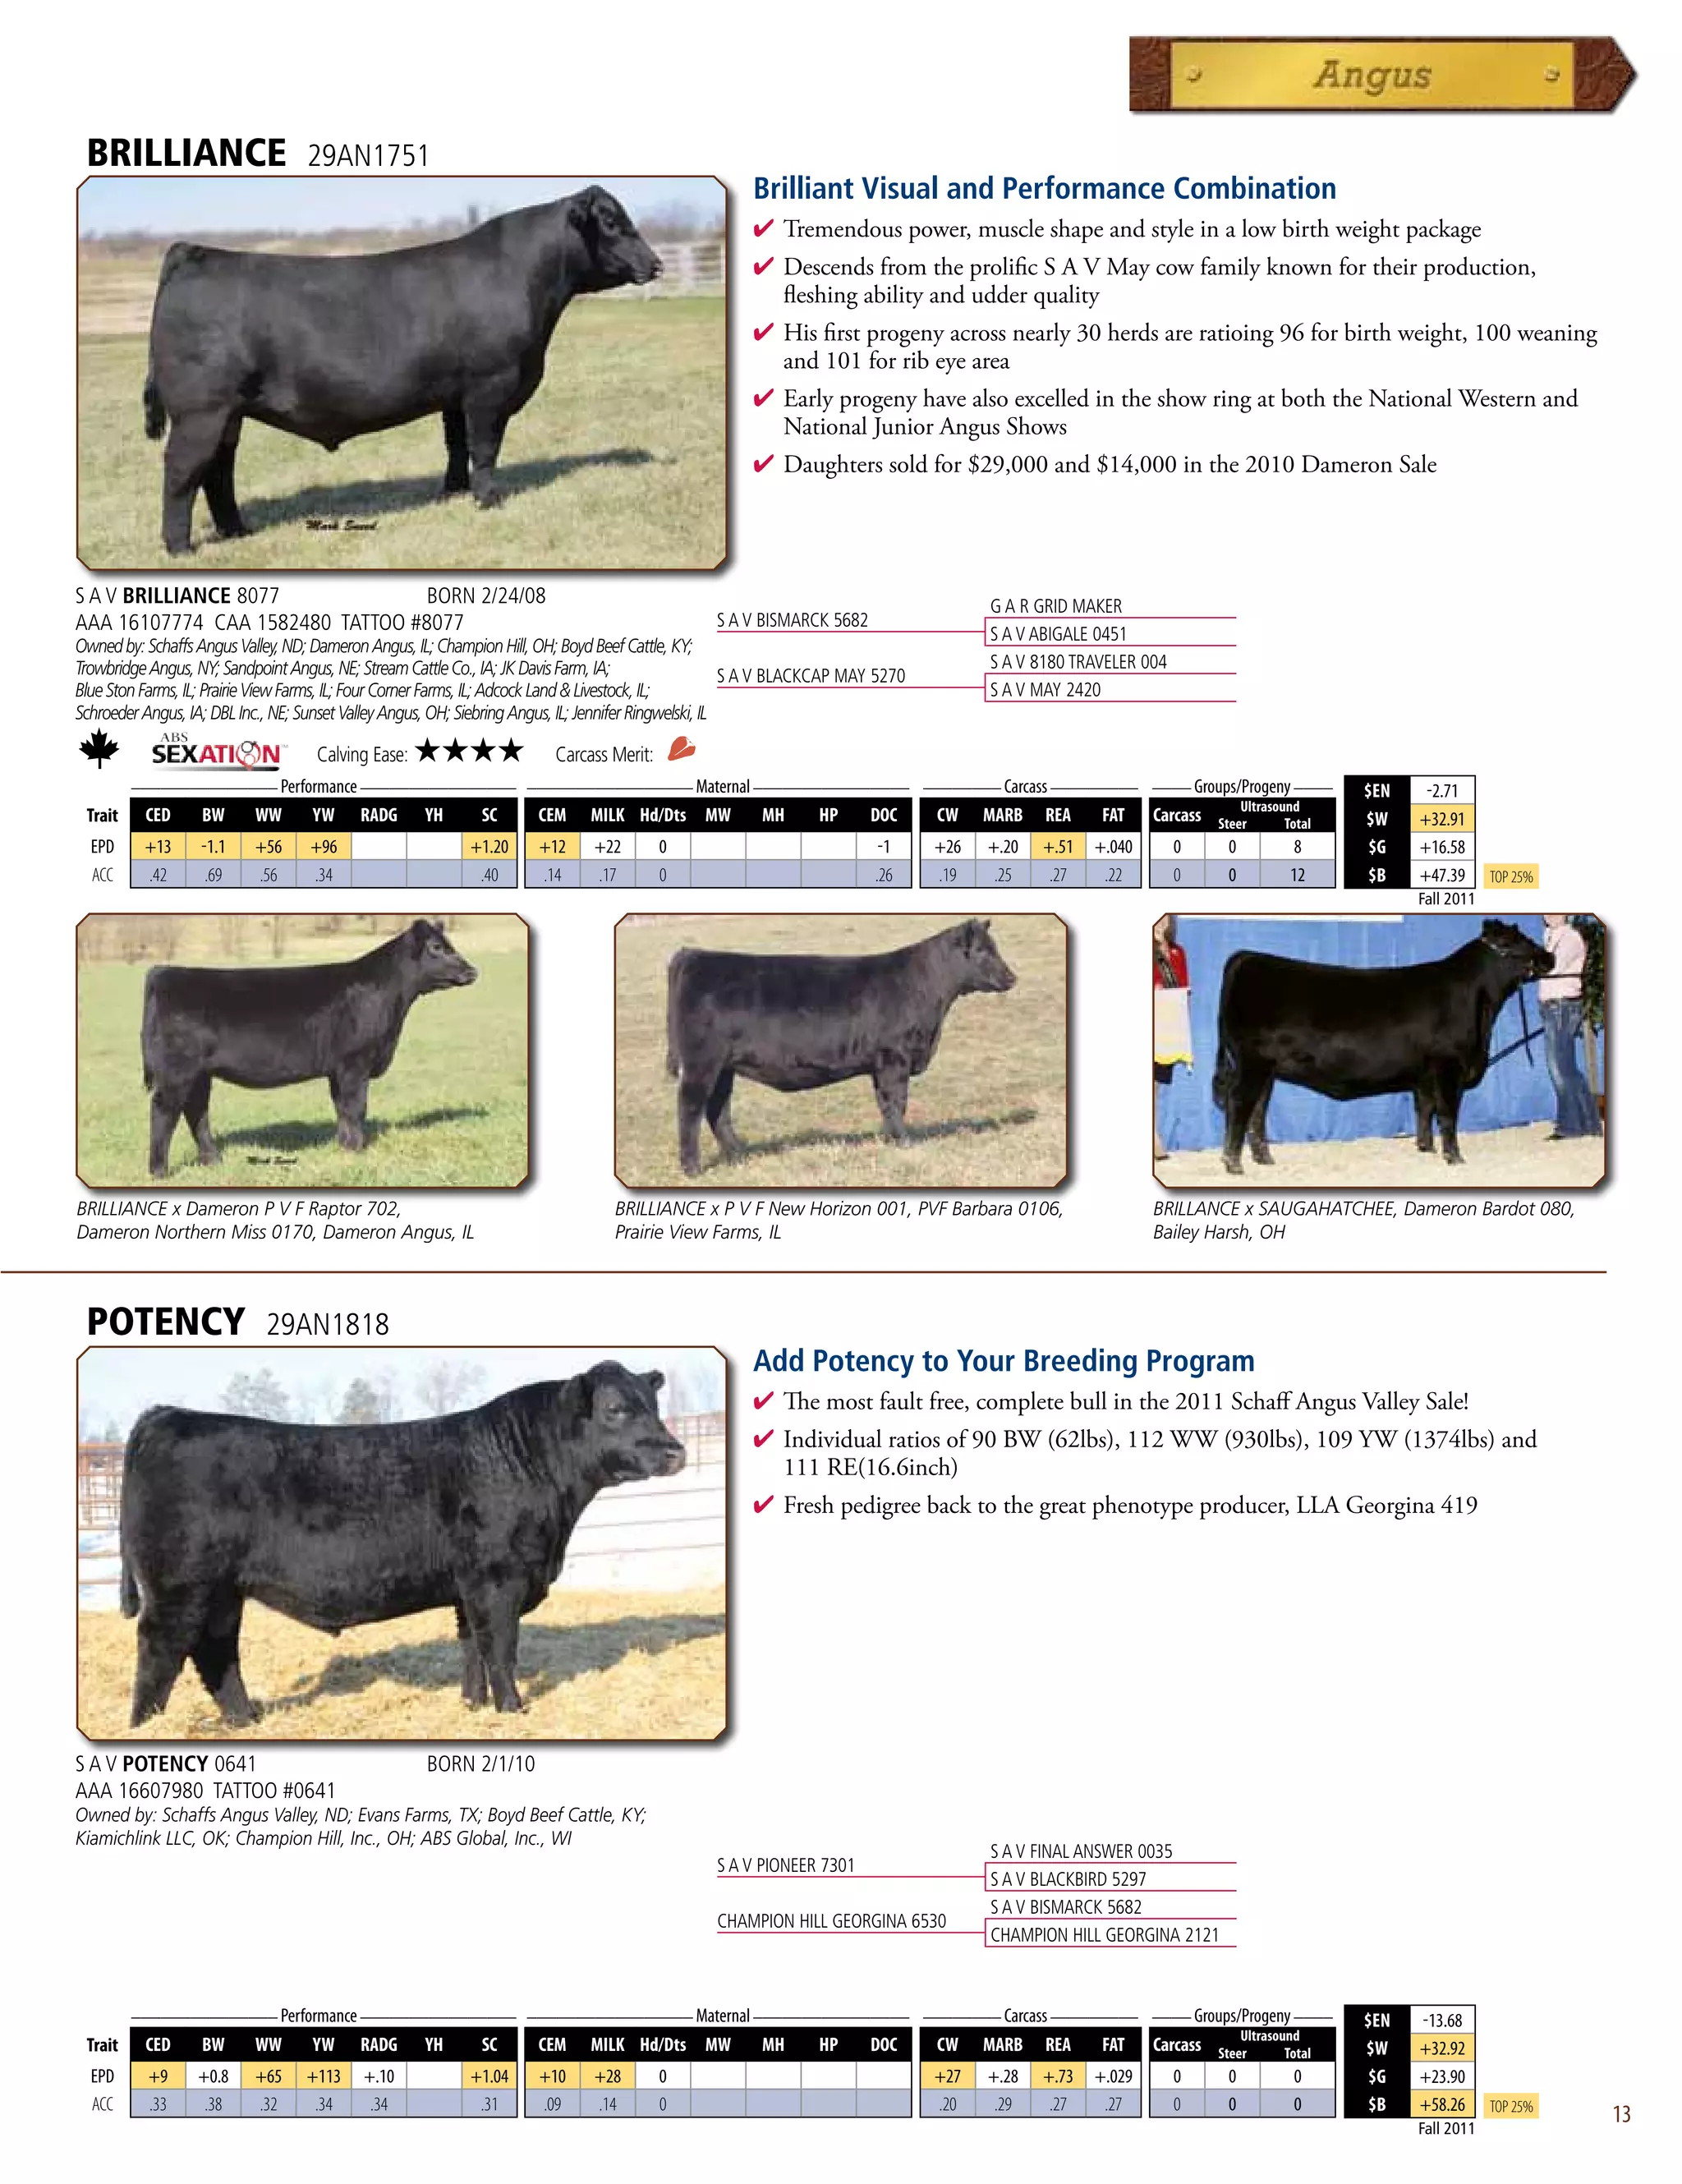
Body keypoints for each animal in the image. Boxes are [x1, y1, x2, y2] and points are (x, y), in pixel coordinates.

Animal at [119, 1362, 687, 1724]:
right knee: (158, 1653)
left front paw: (472, 1707)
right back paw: (146, 1728)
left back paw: (246, 1720)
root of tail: (167, 1415)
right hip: (178, 1588)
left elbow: (473, 1649)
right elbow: (502, 1649)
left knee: (216, 1653)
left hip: (221, 1592)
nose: (675, 1452)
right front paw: (513, 1709)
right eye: (615, 1409)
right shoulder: (498, 1578)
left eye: (652, 1403)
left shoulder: (468, 1587)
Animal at [140, 918, 477, 1177]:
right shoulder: (356, 1062)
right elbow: (356, 1107)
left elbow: (342, 1109)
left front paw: (344, 1148)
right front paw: (357, 1151)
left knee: (196, 1111)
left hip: (200, 1074)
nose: (472, 971)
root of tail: (164, 972)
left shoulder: (338, 1069)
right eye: (436, 948)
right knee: (164, 1113)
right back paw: (159, 1171)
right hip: (177, 1072)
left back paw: (213, 1161)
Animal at [142, 186, 663, 554]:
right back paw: (180, 547)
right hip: (201, 411)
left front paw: (452, 493)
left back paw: (237, 532)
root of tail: (196, 252)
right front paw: (489, 499)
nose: (657, 264)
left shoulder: (455, 393)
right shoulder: (490, 385)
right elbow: (485, 446)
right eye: (611, 222)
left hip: (229, 413)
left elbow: (456, 445)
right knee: (181, 471)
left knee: (218, 470)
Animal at [665, 919, 1018, 1175]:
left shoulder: (879, 1064)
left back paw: (740, 1155)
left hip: (725, 1067)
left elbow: (885, 1104)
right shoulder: (895, 1057)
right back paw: (693, 1169)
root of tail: (692, 954)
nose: (1012, 977)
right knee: (690, 1109)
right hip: (701, 1063)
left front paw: (889, 1139)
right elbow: (897, 1102)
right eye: (983, 950)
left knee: (718, 1110)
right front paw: (905, 1143)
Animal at [1211, 918, 1554, 1173]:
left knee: (1258, 1109)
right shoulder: (1448, 1065)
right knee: (1240, 1103)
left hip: (1266, 1069)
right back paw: (1233, 1163)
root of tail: (1248, 956)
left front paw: (1426, 1149)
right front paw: (1454, 1157)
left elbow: (1424, 1108)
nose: (1549, 957)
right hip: (1252, 1063)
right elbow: (1447, 1112)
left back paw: (1263, 1159)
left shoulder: (1425, 1073)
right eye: (1517, 941)